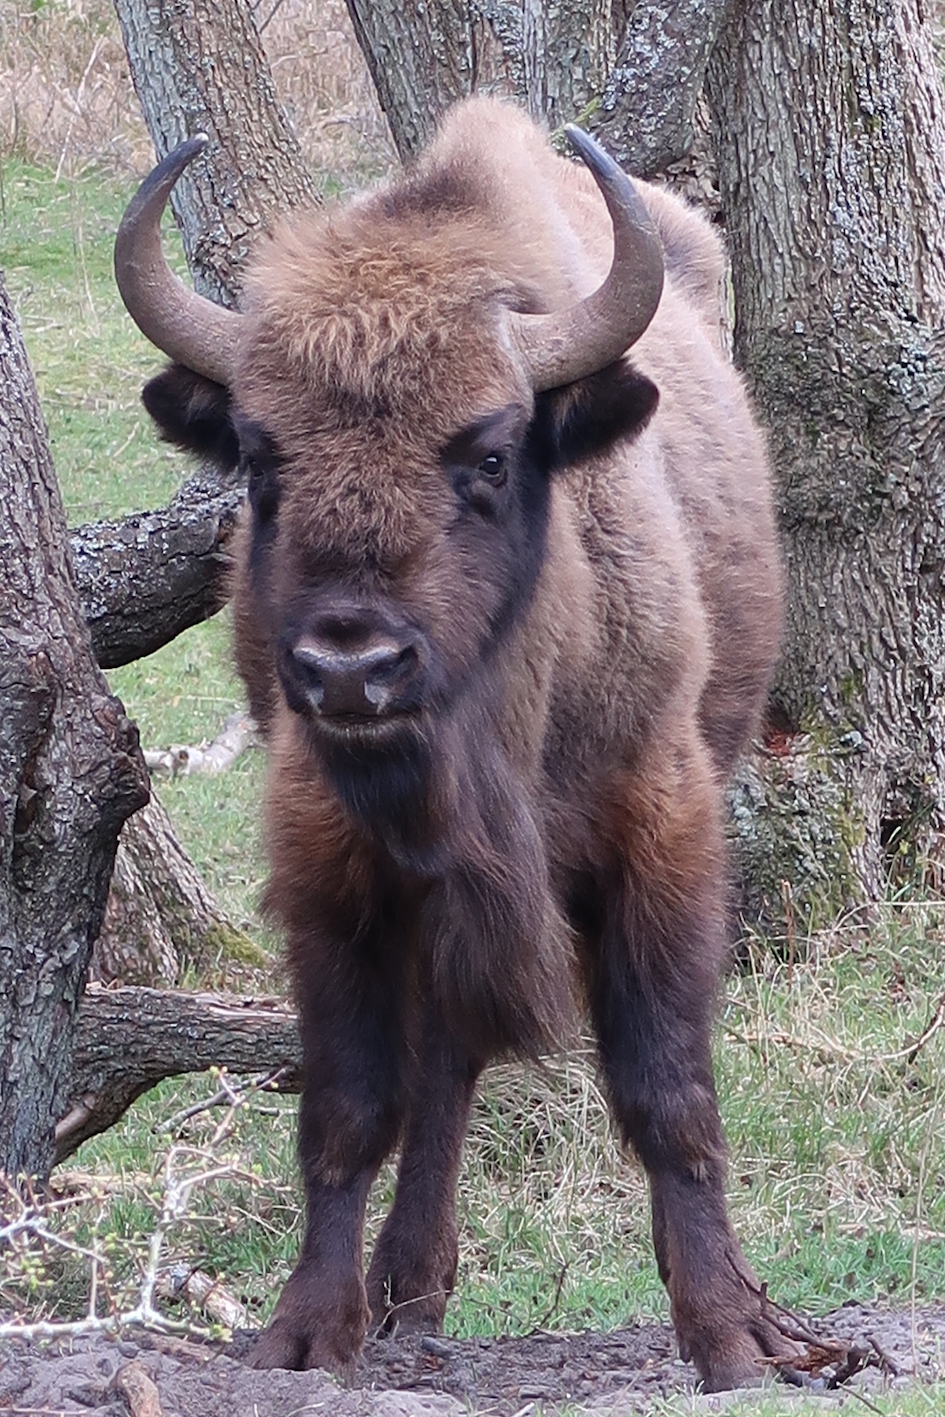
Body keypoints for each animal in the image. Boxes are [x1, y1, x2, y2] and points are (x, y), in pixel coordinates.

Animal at [115, 98, 787, 1391]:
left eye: (486, 454)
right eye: (262, 459)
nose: (350, 667)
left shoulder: (662, 827)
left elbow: (669, 1089)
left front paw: (735, 1336)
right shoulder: (332, 867)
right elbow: (351, 1107)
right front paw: (306, 1333)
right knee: (441, 1072)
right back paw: (407, 1296)